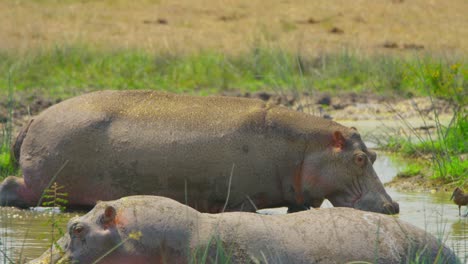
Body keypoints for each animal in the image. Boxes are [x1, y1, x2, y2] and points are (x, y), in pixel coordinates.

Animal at [1, 89, 400, 213]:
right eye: (359, 158)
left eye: (374, 156)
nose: (393, 206)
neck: (305, 146)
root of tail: (33, 118)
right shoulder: (241, 201)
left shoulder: (297, 200)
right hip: (42, 182)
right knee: (11, 186)